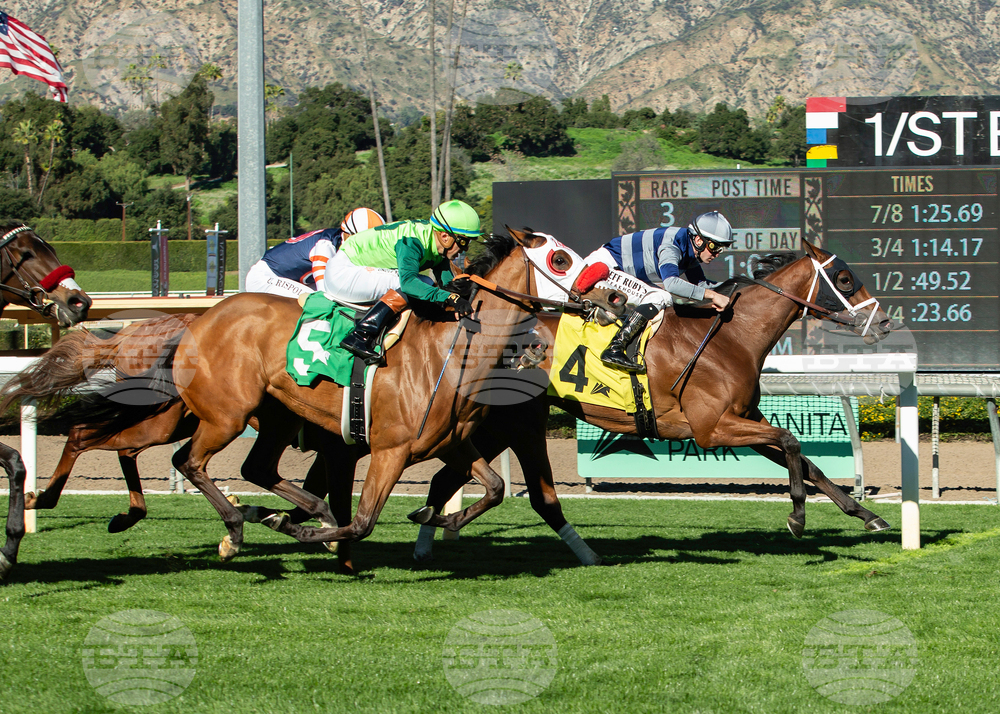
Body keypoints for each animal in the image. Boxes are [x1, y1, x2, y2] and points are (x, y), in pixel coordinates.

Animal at [406, 239, 895, 565]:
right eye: (845, 279)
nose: (885, 324)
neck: (732, 337)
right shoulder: (712, 428)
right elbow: (792, 443)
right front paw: (797, 517)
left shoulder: (744, 421)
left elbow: (808, 462)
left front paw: (868, 515)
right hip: (507, 422)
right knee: (455, 476)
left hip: (497, 424)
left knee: (445, 478)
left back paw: (431, 532)